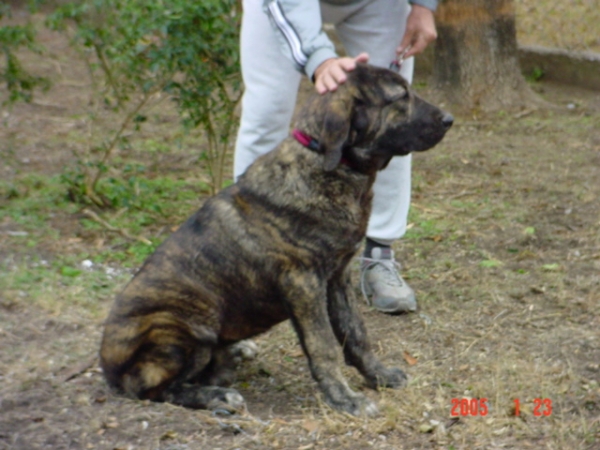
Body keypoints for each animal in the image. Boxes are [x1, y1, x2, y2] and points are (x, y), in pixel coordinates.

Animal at [101, 63, 452, 414]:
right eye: (401, 96)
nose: (449, 119)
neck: (326, 165)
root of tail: (108, 368)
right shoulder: (303, 283)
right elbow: (323, 345)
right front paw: (344, 398)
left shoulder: (337, 277)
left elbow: (355, 333)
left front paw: (378, 375)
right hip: (182, 325)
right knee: (154, 388)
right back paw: (215, 395)